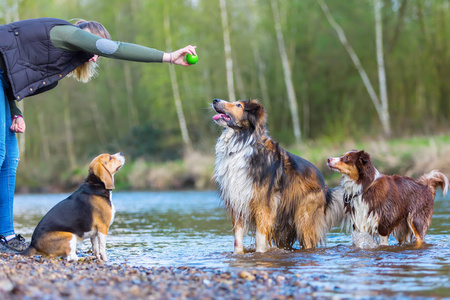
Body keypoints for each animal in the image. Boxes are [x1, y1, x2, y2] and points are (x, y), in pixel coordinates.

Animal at [211, 99, 344, 253]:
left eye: (238, 105)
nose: (215, 100)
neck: (240, 144)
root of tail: (325, 185)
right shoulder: (238, 204)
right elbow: (237, 240)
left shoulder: (263, 206)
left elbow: (260, 239)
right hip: (284, 226)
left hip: (304, 219)